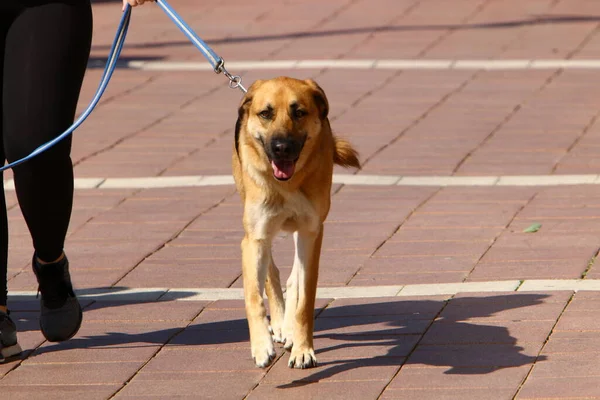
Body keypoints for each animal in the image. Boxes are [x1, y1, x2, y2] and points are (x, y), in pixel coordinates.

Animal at [232, 76, 358, 370]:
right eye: (265, 113)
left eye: (299, 112)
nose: (282, 148)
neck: (287, 185)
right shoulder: (254, 238)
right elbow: (253, 296)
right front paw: (261, 346)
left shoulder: (311, 232)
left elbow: (304, 299)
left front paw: (302, 349)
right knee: (271, 273)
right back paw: (278, 325)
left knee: (294, 281)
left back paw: (288, 330)